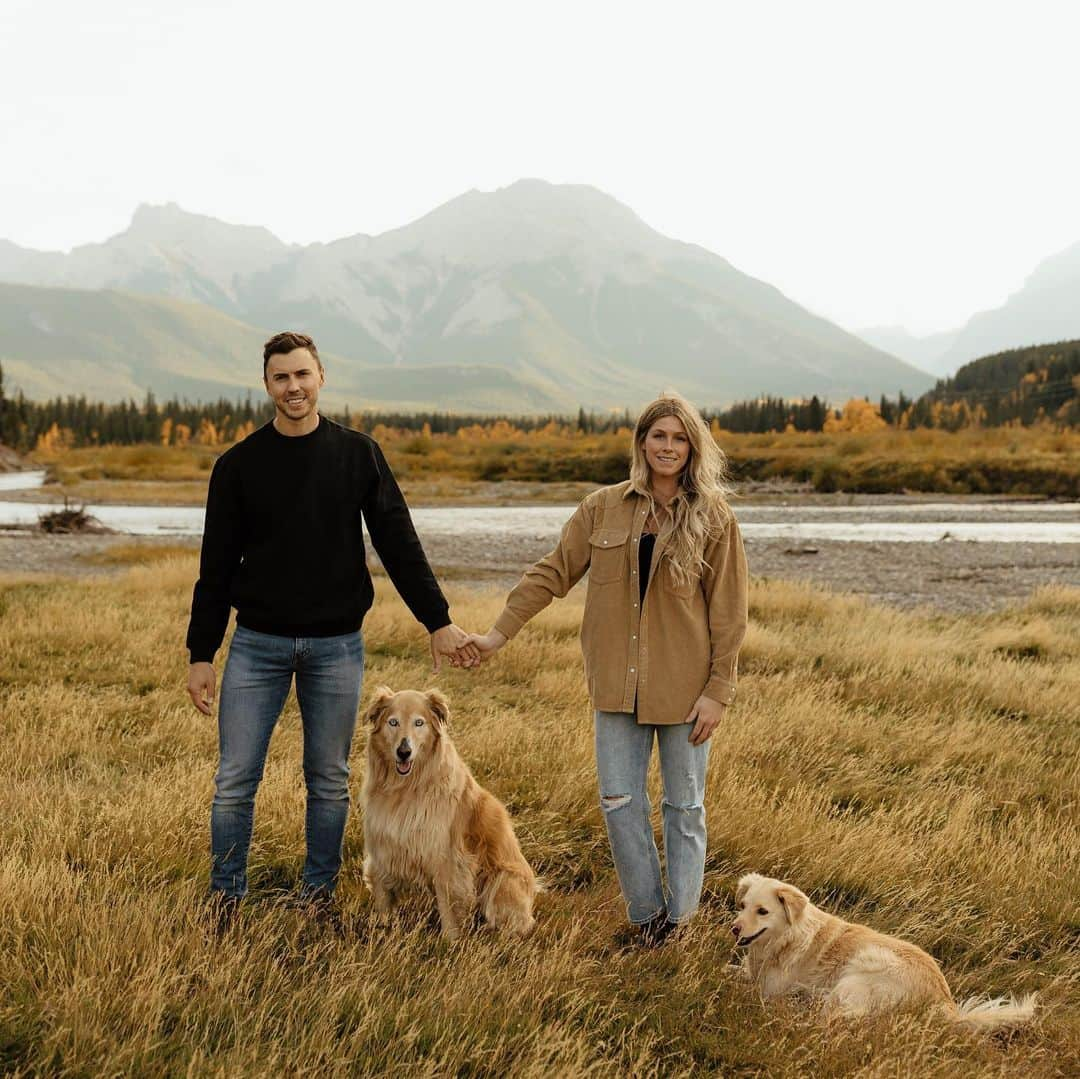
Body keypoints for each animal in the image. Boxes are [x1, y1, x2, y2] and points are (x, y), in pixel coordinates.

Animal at [360, 686, 537, 941]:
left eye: (419, 722)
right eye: (393, 722)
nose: (404, 752)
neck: (407, 787)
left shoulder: (447, 859)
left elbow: (450, 908)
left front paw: (450, 942)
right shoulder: (383, 847)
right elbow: (383, 896)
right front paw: (383, 930)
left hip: (503, 879)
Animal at [730, 868, 1032, 1028]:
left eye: (763, 911)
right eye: (742, 906)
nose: (734, 929)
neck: (786, 937)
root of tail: (946, 1004)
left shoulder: (769, 989)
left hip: (864, 966)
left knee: (838, 1016)